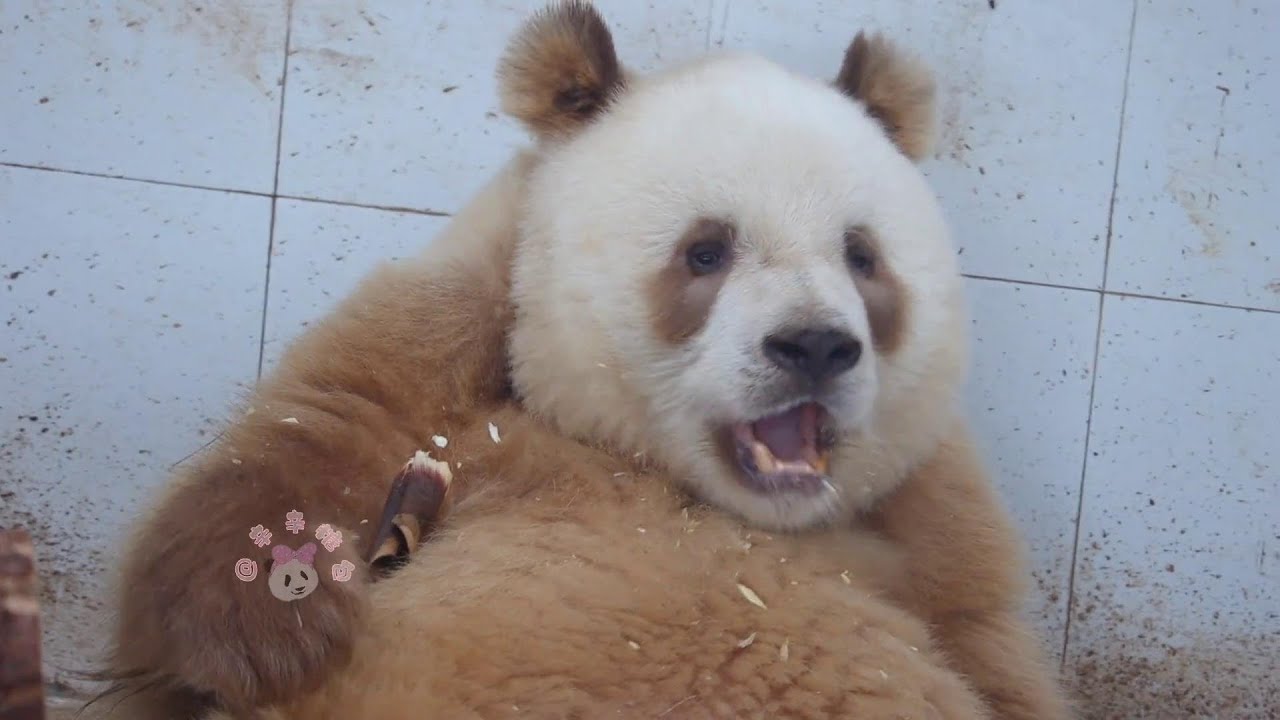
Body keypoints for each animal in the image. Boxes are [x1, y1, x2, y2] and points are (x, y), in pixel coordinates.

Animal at [94, 2, 1071, 719]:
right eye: (707, 251)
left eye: (862, 257)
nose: (815, 346)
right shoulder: (451, 337)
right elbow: (324, 428)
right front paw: (274, 627)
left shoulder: (942, 527)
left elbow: (985, 647)